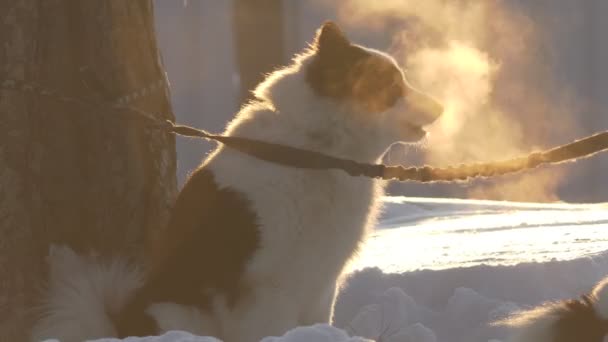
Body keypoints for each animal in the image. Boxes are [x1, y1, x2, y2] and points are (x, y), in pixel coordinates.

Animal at [30, 22, 444, 342]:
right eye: (393, 85)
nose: (441, 107)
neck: (312, 152)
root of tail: (119, 325)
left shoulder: (322, 280)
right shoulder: (269, 287)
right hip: (177, 309)